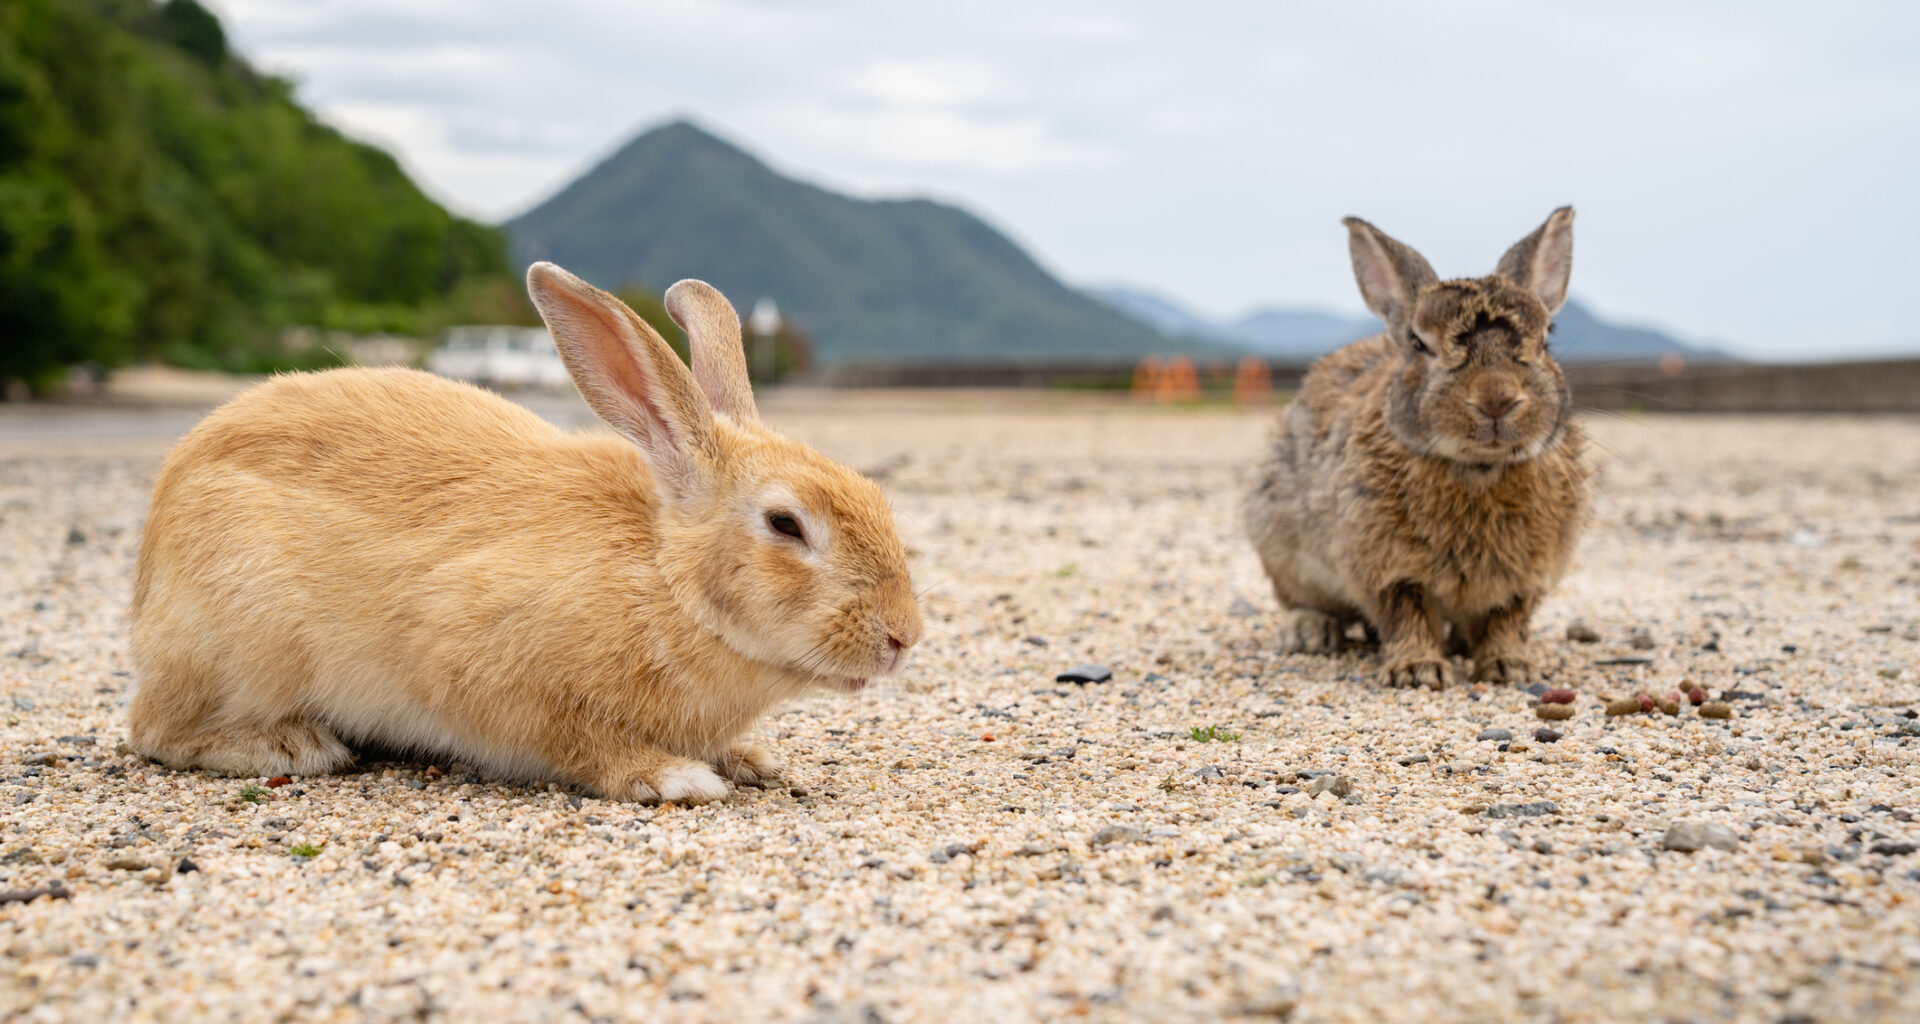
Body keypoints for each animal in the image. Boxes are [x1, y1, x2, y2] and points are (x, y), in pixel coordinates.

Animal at [126, 262, 924, 803]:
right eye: (785, 524)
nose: (904, 637)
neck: (668, 581)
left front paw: (752, 761)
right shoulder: (487, 674)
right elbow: (579, 742)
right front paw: (677, 778)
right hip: (246, 640)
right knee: (154, 731)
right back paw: (293, 746)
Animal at [1244, 208, 1591, 689]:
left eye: (1546, 339)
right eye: (1418, 343)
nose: (1496, 399)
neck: (1478, 469)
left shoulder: (1525, 577)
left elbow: (1507, 619)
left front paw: (1509, 667)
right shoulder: (1388, 566)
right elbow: (1407, 614)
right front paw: (1417, 671)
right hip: (1281, 542)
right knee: (1306, 600)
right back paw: (1309, 632)